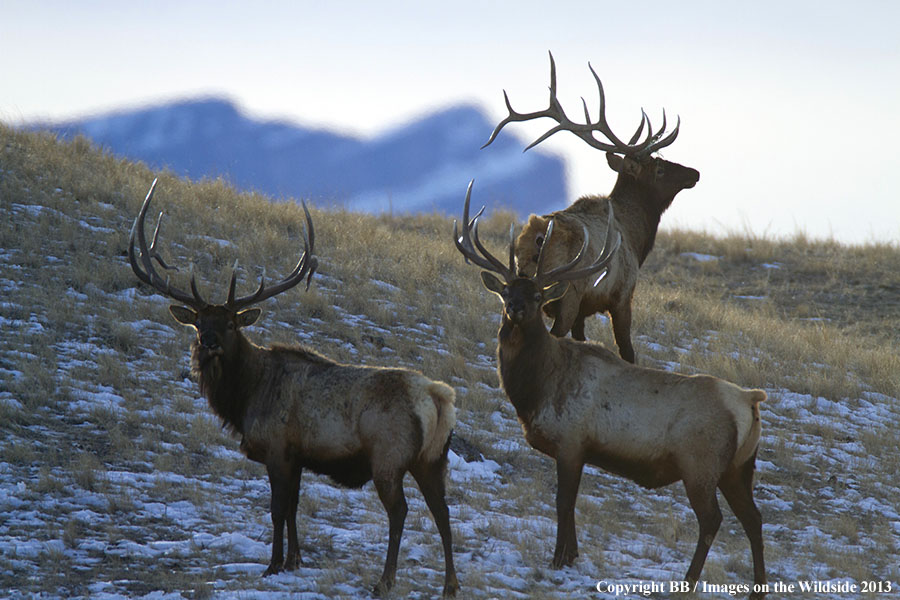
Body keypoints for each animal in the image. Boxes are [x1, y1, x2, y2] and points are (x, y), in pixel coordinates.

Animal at [128, 179, 459, 597]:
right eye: (199, 322)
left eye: (231, 323)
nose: (209, 342)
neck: (244, 399)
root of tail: (438, 396)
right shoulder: (298, 455)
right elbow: (294, 508)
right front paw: (294, 560)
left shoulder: (277, 447)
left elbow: (276, 509)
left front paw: (272, 565)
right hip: (432, 458)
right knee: (443, 510)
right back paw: (450, 585)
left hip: (389, 456)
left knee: (401, 511)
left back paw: (385, 581)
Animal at [453, 181, 767, 599]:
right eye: (506, 291)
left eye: (538, 296)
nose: (516, 309)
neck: (536, 389)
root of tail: (750, 402)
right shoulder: (579, 450)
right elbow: (571, 503)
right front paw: (571, 555)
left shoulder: (571, 441)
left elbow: (563, 502)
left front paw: (560, 558)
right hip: (739, 468)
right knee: (754, 519)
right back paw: (757, 587)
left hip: (700, 464)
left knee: (712, 520)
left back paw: (687, 581)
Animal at [483, 52, 700, 363]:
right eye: (659, 167)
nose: (694, 173)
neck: (636, 236)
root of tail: (535, 237)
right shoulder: (621, 295)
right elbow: (627, 351)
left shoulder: (582, 312)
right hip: (567, 294)